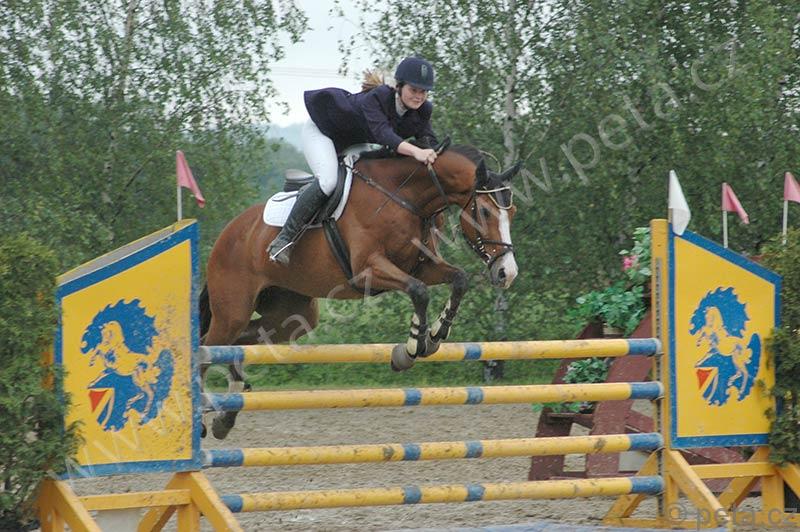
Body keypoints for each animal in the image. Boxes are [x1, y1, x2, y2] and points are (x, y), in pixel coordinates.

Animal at [200, 140, 522, 439]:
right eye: (484, 212)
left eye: (513, 212)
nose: (507, 273)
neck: (405, 197)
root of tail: (227, 234)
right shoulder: (369, 269)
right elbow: (419, 291)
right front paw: (412, 348)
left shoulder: (422, 266)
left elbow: (458, 279)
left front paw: (434, 336)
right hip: (233, 311)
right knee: (207, 347)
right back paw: (203, 416)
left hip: (292, 316)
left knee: (240, 342)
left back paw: (226, 415)